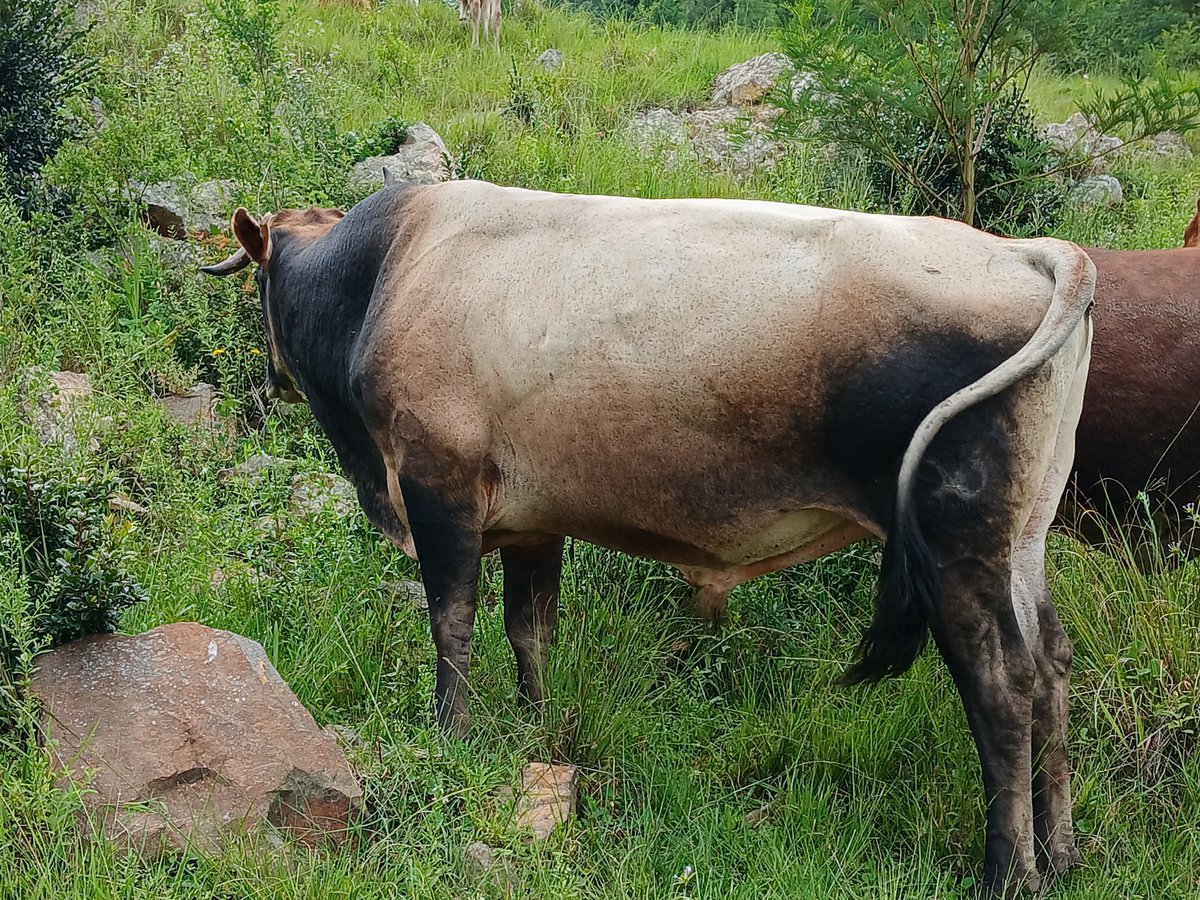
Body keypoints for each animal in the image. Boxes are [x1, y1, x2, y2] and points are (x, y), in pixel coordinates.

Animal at [202, 180, 1094, 897]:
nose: (270, 381)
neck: (387, 272)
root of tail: (1028, 252)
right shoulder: (533, 517)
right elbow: (530, 629)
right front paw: (533, 730)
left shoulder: (437, 486)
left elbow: (452, 624)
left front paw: (451, 733)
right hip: (1023, 542)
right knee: (1052, 666)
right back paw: (1061, 856)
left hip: (958, 543)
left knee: (1004, 687)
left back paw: (1007, 872)